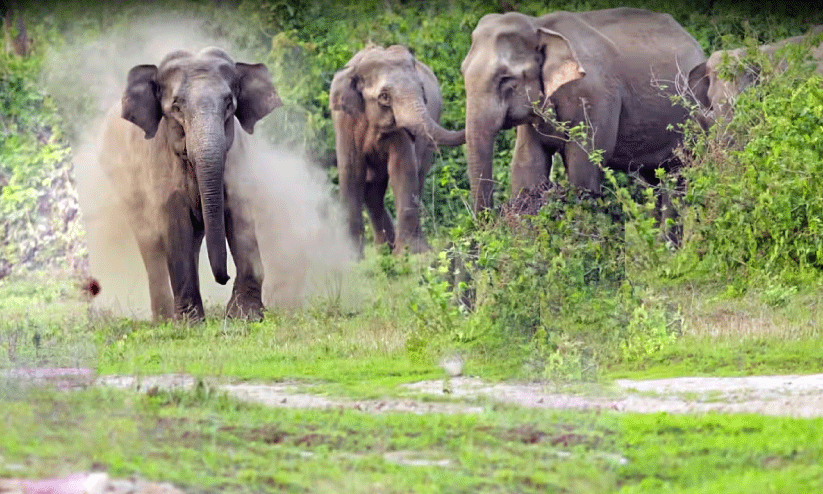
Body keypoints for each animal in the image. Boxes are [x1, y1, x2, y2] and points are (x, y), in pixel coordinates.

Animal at [95, 48, 282, 322]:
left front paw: (245, 317)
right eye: (176, 107)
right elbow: (176, 225)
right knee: (150, 245)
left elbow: (240, 218)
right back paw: (163, 319)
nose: (224, 278)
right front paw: (189, 324)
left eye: (229, 103)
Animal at [332, 43, 466, 255]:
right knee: (372, 186)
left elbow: (403, 169)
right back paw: (383, 249)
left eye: (422, 90)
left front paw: (411, 253)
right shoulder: (345, 121)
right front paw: (351, 256)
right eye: (384, 96)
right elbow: (351, 172)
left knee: (415, 178)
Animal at [464, 7, 708, 211]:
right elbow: (528, 164)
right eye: (462, 71)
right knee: (654, 179)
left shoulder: (594, 97)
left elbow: (583, 164)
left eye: (505, 79)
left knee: (678, 177)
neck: (540, 25)